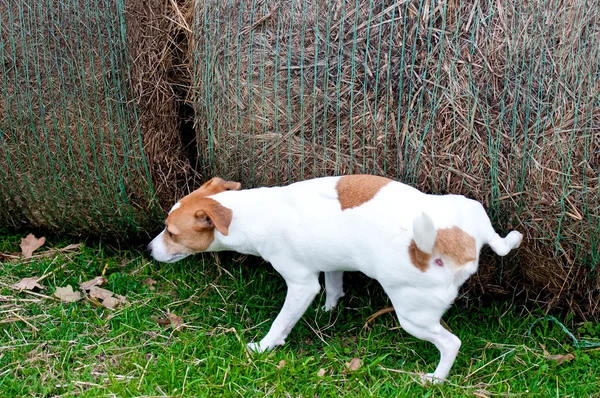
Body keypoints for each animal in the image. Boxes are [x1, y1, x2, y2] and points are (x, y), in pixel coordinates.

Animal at [148, 175, 524, 382]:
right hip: (470, 207)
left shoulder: (300, 284)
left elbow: (282, 322)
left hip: (413, 316)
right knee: (501, 241)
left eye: (171, 233)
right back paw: (510, 239)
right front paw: (329, 310)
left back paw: (436, 378)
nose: (148, 249)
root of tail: (456, 243)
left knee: (451, 343)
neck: (249, 213)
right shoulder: (330, 263)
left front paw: (264, 346)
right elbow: (333, 286)